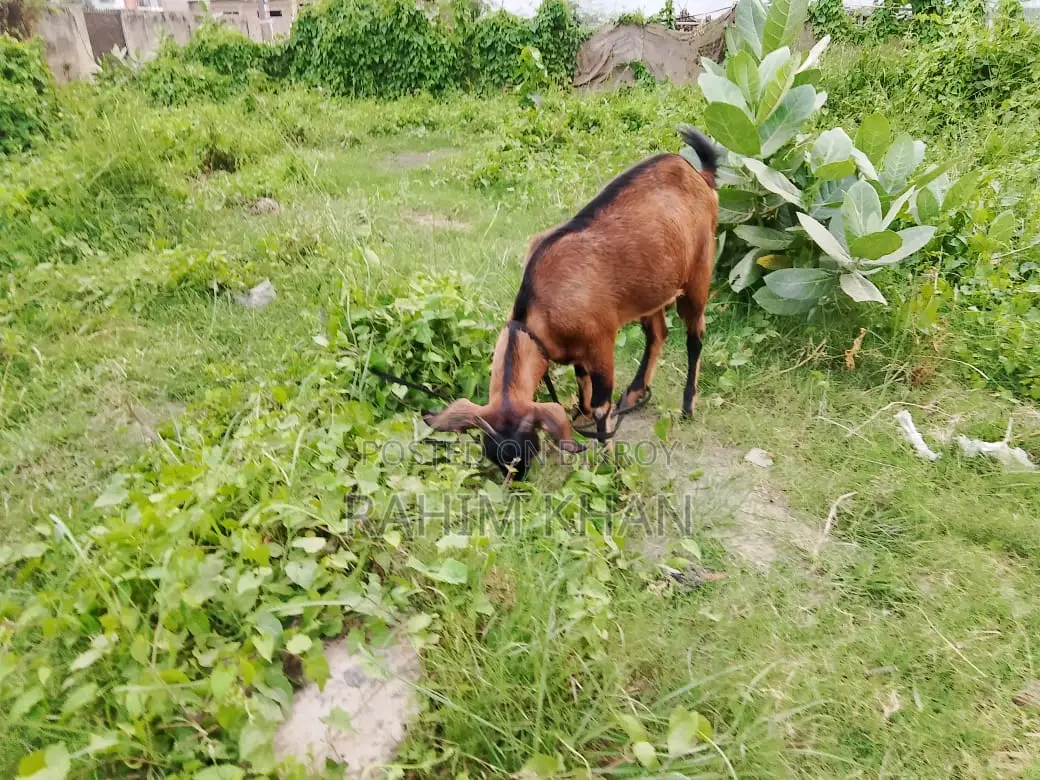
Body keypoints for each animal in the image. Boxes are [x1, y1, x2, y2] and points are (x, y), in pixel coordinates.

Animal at [424, 127, 718, 479]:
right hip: (651, 289)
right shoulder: (577, 348)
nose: (518, 480)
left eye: (525, 447)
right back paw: (635, 393)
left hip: (699, 272)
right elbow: (582, 381)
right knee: (657, 332)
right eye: (493, 454)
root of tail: (699, 176)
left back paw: (688, 407)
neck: (538, 308)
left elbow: (602, 404)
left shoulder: (600, 343)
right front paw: (582, 414)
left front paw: (607, 461)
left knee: (694, 337)